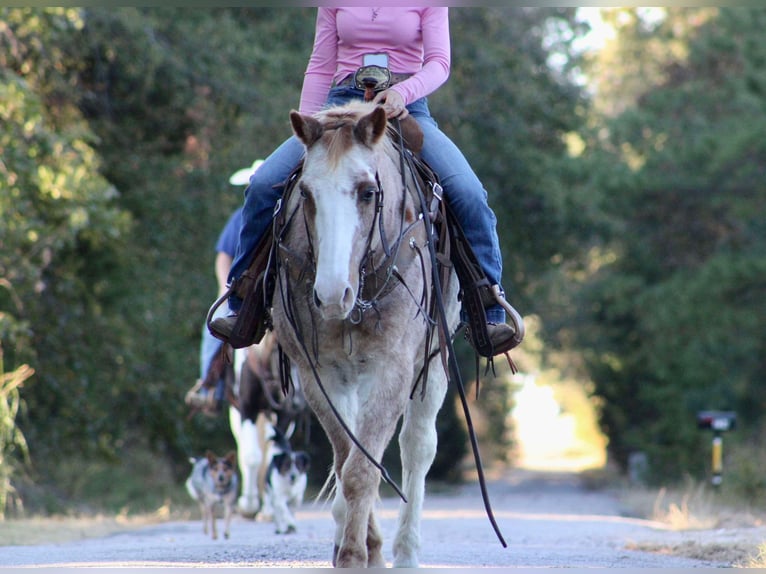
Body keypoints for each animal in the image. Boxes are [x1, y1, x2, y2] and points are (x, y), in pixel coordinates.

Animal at [270, 101, 462, 568]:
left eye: (367, 192)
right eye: (306, 194)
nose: (330, 294)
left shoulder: (393, 370)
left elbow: (363, 467)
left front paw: (356, 554)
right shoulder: (317, 373)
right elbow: (348, 460)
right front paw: (360, 548)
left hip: (434, 366)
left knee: (417, 446)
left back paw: (406, 551)